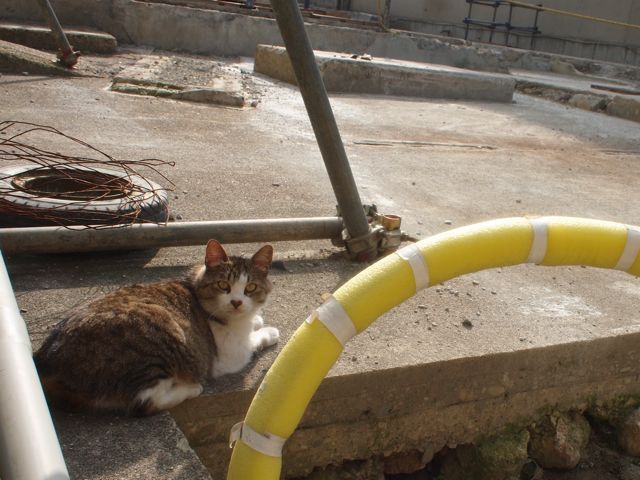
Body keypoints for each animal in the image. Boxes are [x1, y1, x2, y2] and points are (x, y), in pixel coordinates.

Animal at [32, 240, 278, 416]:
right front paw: (268, 331)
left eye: (250, 288)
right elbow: (253, 341)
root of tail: (47, 356)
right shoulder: (230, 357)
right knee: (144, 403)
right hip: (159, 339)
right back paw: (191, 388)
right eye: (223, 285)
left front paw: (256, 319)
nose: (236, 302)